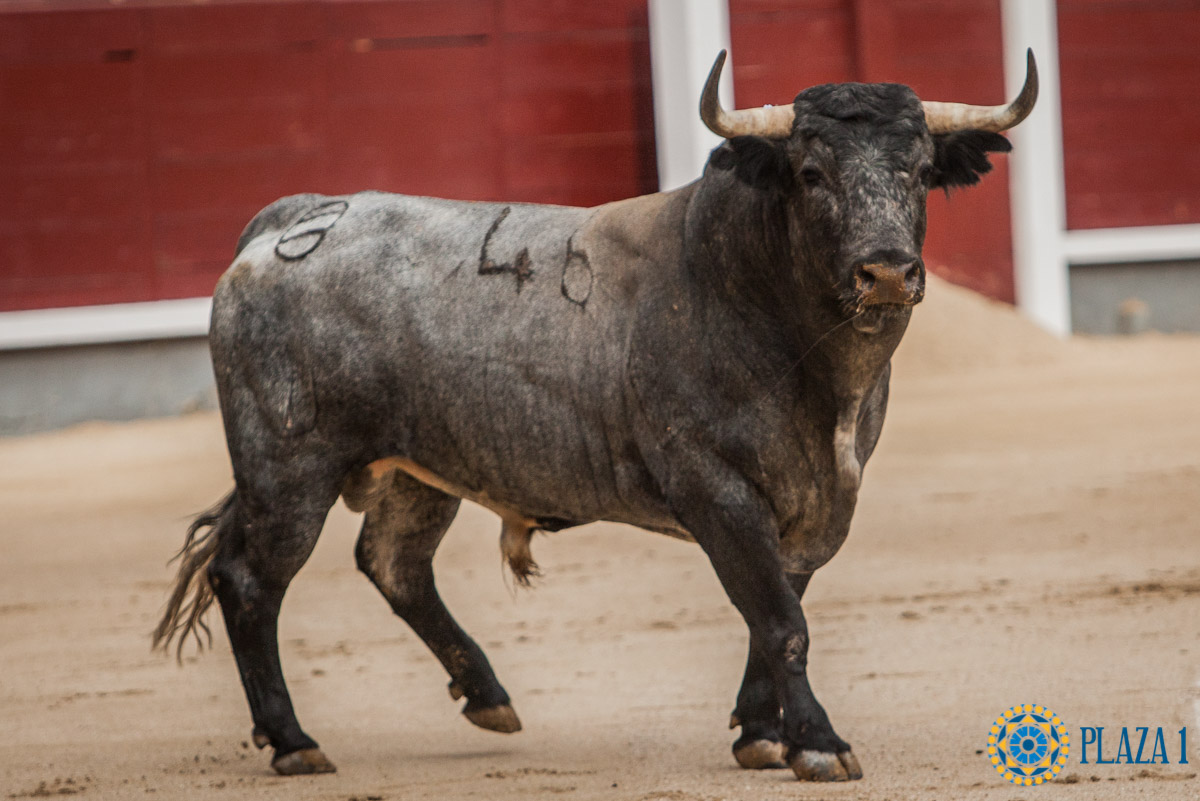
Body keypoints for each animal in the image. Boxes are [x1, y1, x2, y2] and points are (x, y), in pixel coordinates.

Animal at [154, 51, 1036, 781]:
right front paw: (817, 743)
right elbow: (781, 619)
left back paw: (486, 695)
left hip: (420, 466)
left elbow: (775, 609)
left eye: (919, 170)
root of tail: (290, 222)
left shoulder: (819, 500)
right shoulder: (714, 488)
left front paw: (761, 734)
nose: (886, 272)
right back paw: (294, 741)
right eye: (813, 171)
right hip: (287, 465)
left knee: (394, 563)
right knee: (250, 579)